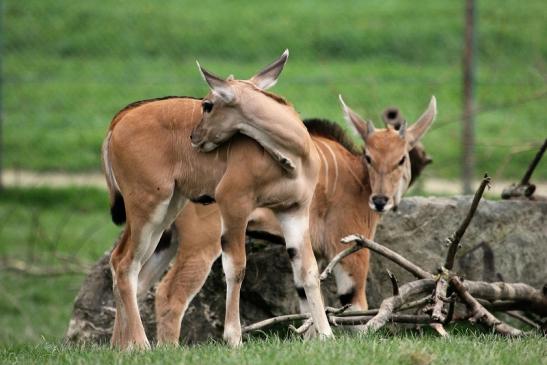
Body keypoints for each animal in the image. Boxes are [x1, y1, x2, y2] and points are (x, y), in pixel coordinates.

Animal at [103, 49, 334, 348]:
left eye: (208, 105)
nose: (194, 137)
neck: (294, 155)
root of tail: (120, 120)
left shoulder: (294, 210)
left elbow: (308, 271)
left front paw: (327, 335)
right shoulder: (233, 203)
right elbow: (236, 267)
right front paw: (234, 337)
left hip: (166, 213)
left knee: (128, 266)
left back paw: (121, 346)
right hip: (148, 206)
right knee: (125, 263)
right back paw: (141, 345)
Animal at [140, 95, 436, 342]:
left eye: (401, 159)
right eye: (369, 157)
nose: (381, 200)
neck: (356, 177)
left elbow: (307, 299)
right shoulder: (350, 252)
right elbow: (355, 307)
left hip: (164, 239)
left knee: (139, 283)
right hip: (202, 242)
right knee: (169, 295)